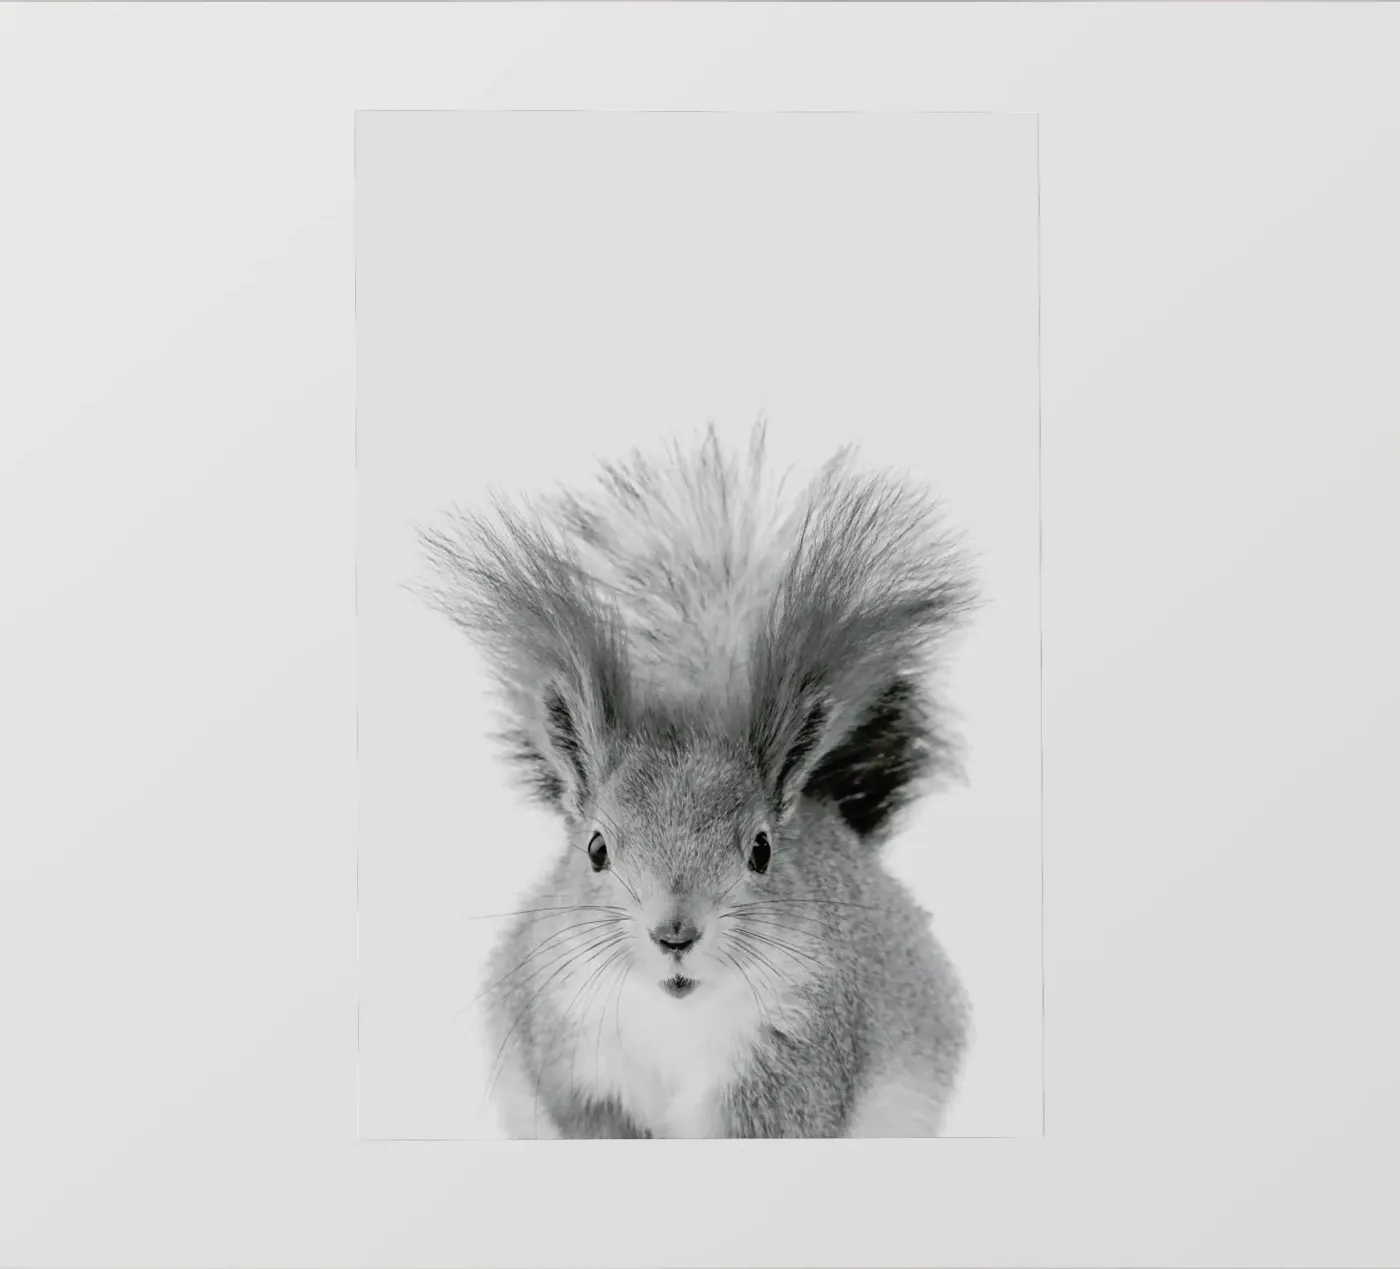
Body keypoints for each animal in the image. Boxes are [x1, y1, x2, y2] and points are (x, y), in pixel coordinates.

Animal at [417, 423, 977, 1138]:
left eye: (761, 850)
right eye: (595, 848)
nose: (675, 934)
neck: (674, 1015)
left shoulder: (792, 1060)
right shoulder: (570, 1051)